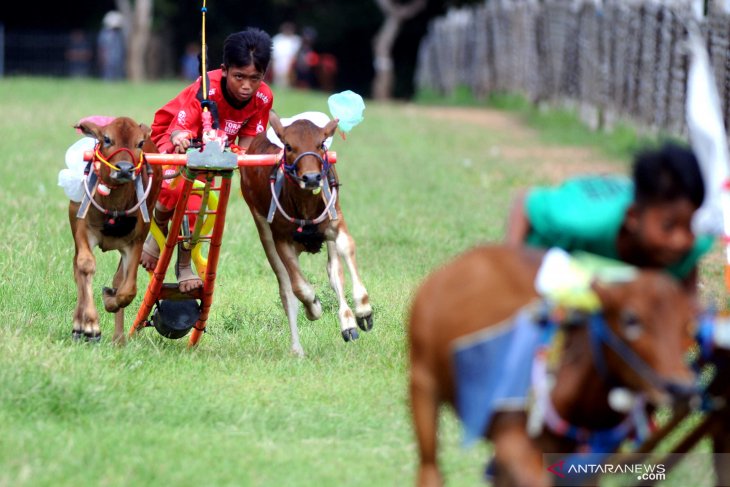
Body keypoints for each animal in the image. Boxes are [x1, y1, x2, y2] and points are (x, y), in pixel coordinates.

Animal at [67, 118, 162, 346]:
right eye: (107, 139)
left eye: (140, 143)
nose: (125, 169)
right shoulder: (82, 228)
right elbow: (85, 266)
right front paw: (91, 327)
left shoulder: (135, 241)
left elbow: (128, 289)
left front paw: (109, 299)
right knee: (77, 269)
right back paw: (78, 326)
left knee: (119, 280)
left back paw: (119, 338)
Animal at [242, 114, 372, 358]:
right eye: (288, 146)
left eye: (321, 144)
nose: (311, 178)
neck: (305, 207)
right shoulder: (280, 238)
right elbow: (298, 287)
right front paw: (314, 307)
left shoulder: (335, 221)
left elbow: (346, 249)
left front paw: (363, 312)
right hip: (262, 227)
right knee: (286, 288)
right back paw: (297, 349)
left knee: (334, 272)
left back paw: (348, 323)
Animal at [406, 248, 696, 487]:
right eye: (631, 319)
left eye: (686, 326)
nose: (680, 388)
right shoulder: (514, 442)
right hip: (423, 387)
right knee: (430, 470)